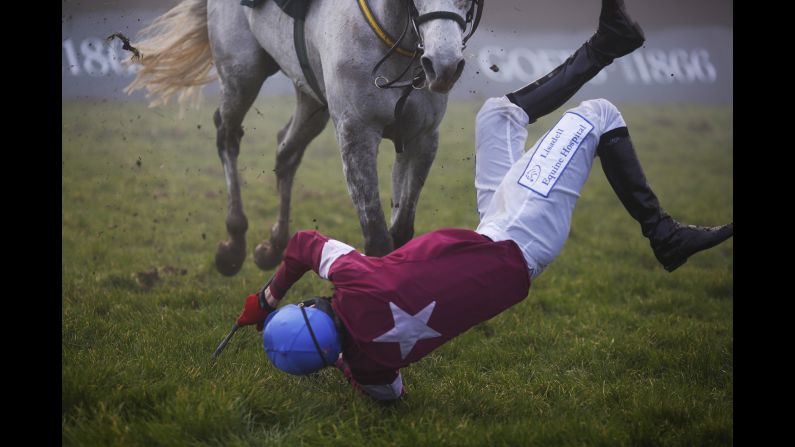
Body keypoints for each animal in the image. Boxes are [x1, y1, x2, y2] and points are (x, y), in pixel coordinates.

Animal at [128, 0, 478, 276]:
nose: (444, 64)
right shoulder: (356, 133)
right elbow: (378, 237)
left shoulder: (421, 138)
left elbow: (402, 228)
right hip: (242, 74)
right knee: (228, 136)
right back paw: (234, 243)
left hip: (312, 98)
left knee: (286, 152)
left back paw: (272, 247)